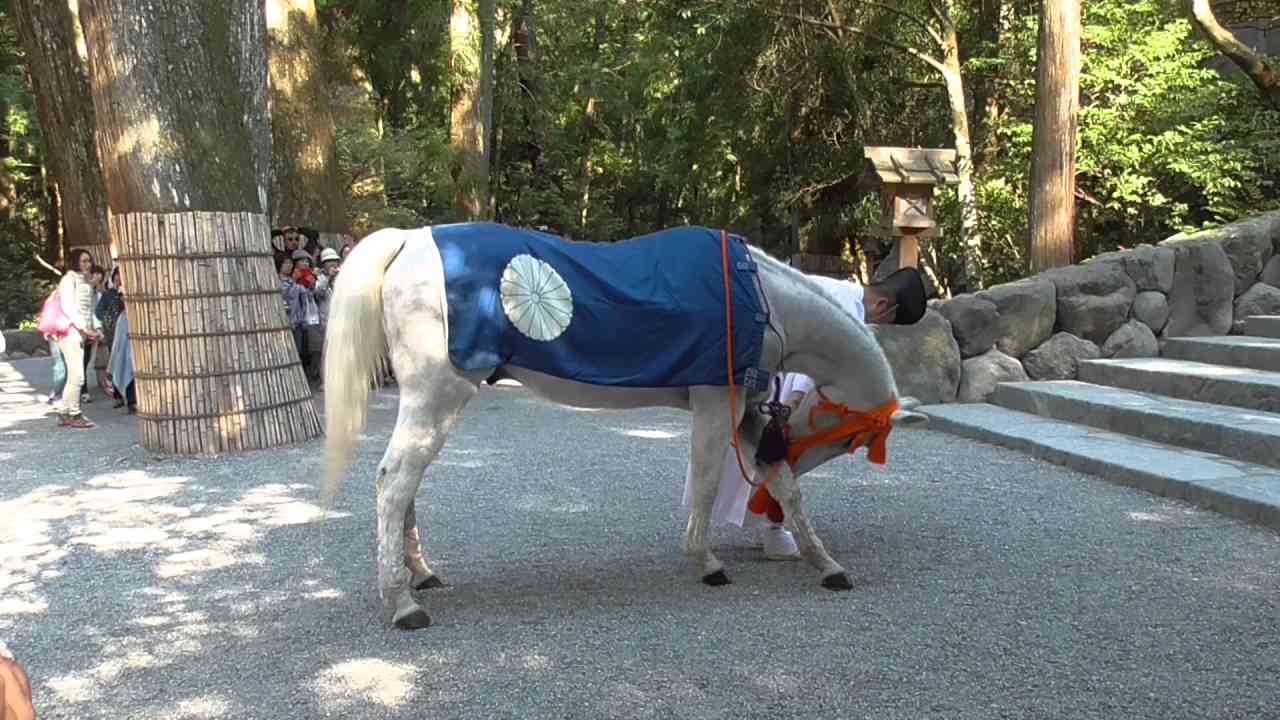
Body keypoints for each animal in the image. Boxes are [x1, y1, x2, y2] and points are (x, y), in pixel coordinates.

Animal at [321, 223, 926, 629]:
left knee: (405, 484)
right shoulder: (718, 403)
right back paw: (402, 601)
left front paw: (825, 563)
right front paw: (705, 560)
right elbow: (708, 482)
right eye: (851, 434)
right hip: (439, 391)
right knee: (396, 481)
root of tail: (410, 241)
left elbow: (784, 487)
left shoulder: (752, 413)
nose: (801, 450)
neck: (760, 299)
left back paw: (418, 573)